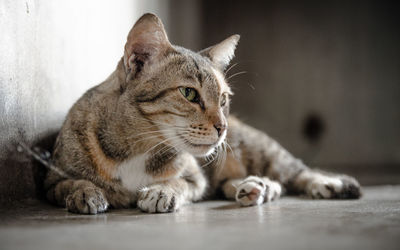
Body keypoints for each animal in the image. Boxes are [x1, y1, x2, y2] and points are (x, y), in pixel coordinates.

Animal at [45, 12, 360, 214]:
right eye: (189, 93)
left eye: (222, 99)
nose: (223, 128)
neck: (138, 146)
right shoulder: (51, 179)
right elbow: (69, 183)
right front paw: (85, 192)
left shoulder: (196, 179)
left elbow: (179, 182)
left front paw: (162, 191)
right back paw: (254, 187)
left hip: (262, 150)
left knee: (296, 172)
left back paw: (326, 183)